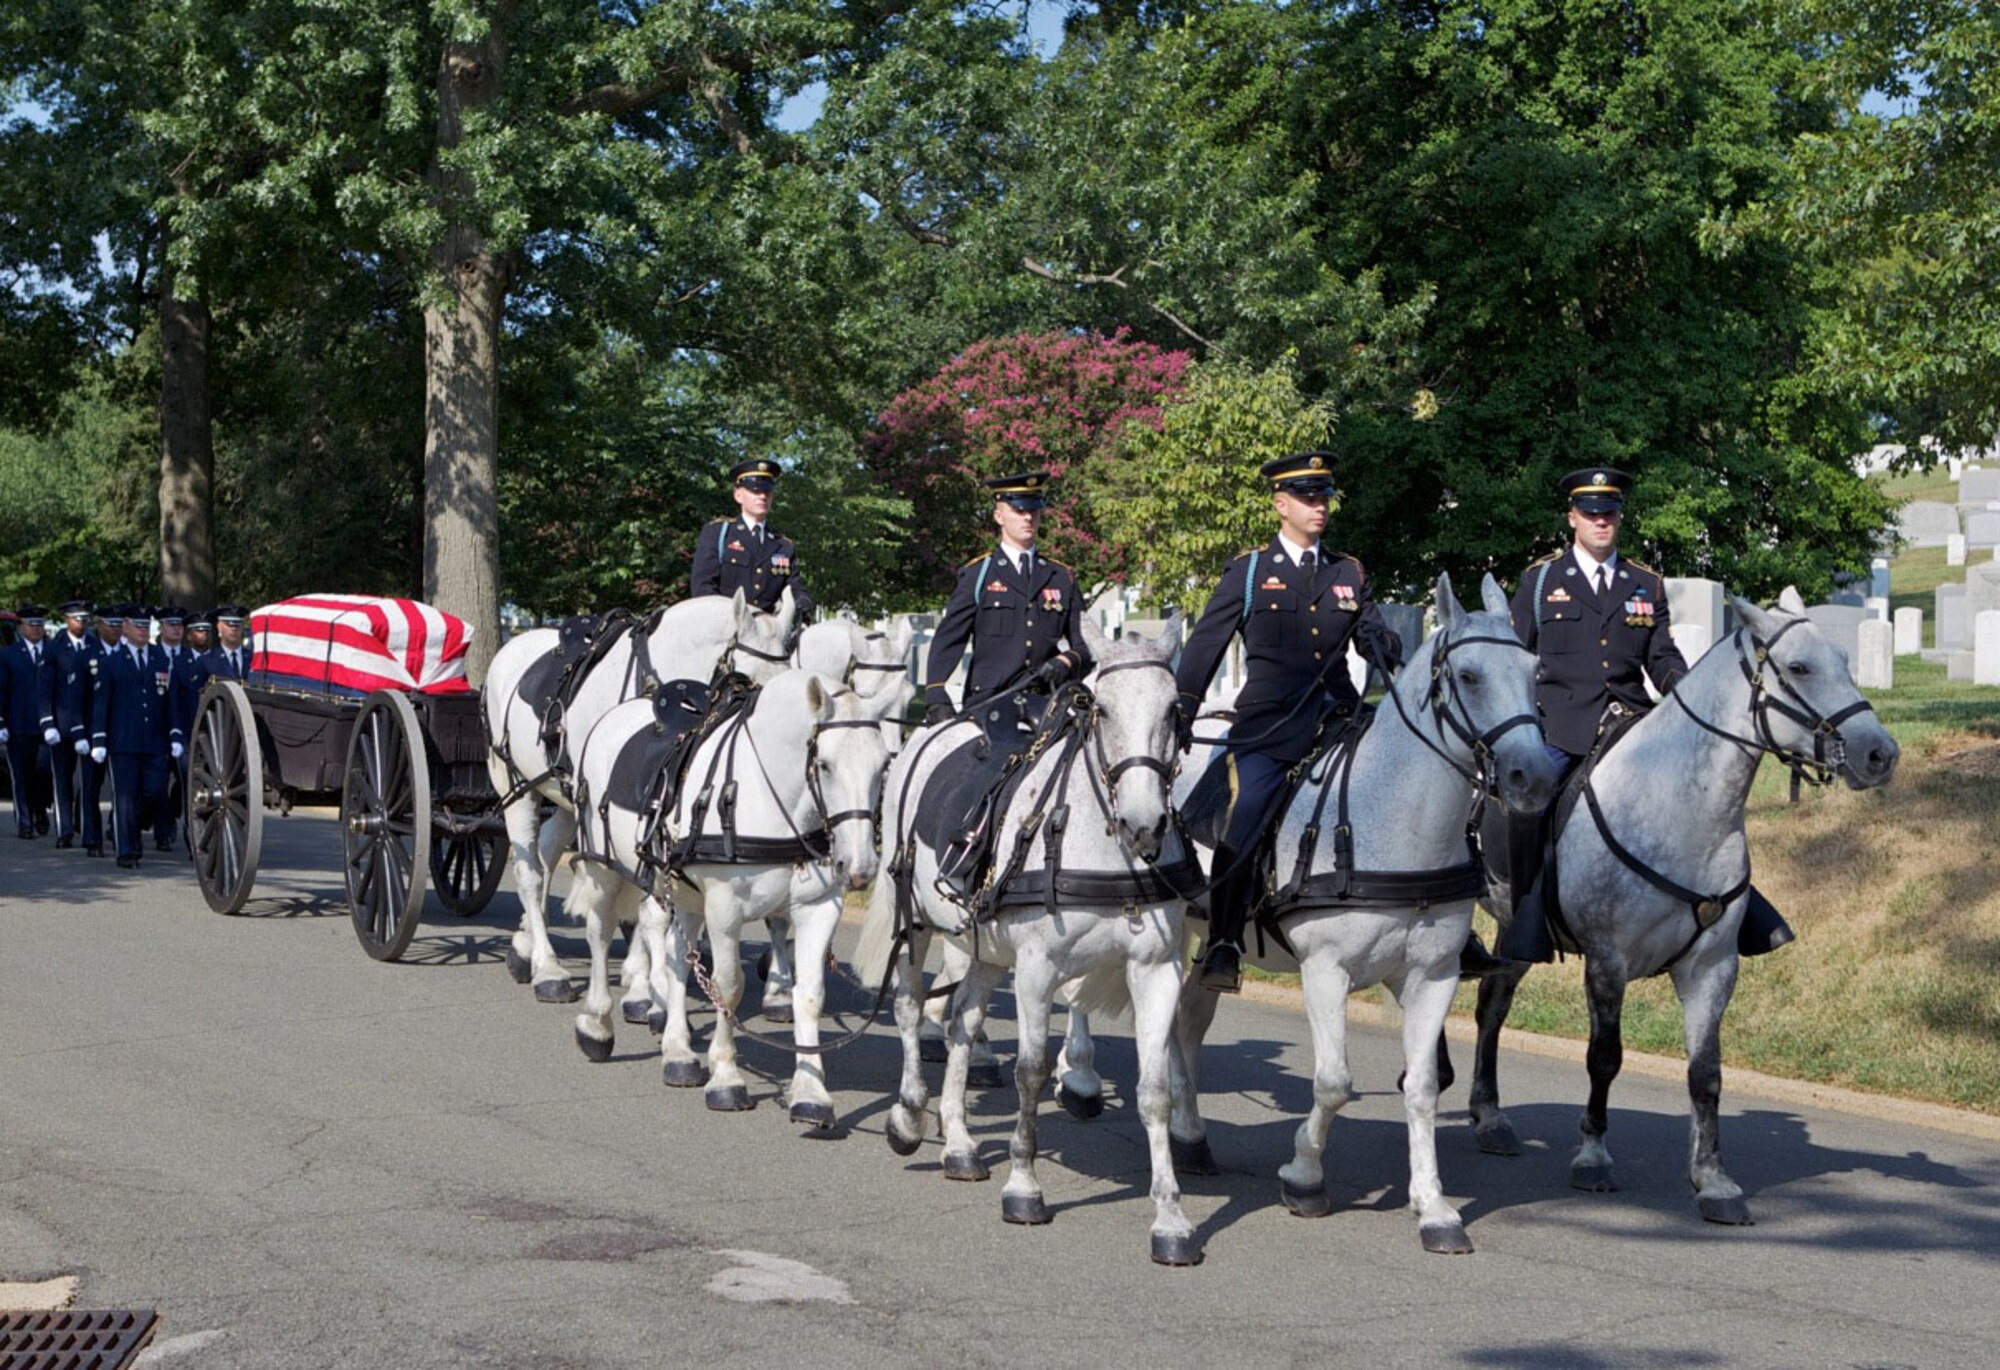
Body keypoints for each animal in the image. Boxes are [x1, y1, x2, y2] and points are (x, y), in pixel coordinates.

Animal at [484, 592, 796, 1000]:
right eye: (750, 685)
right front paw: (644, 981)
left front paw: (642, 972)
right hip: (517, 786)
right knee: (528, 872)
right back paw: (547, 967)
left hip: (563, 797)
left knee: (545, 854)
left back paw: (525, 948)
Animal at [572, 664, 900, 1120]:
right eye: (825, 764)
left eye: (884, 765)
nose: (859, 867)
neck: (767, 792)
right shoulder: (724, 908)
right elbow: (728, 986)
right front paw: (726, 1077)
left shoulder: (819, 908)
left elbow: (810, 995)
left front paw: (811, 1092)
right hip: (603, 869)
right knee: (600, 934)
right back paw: (597, 1026)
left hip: (683, 893)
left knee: (674, 956)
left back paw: (678, 1052)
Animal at [848, 616, 1200, 1264]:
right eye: (1103, 709)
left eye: (1174, 710)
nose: (1144, 824)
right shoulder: (1037, 970)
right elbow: (1031, 1072)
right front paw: (1024, 1185)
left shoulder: (1156, 969)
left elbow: (1155, 1090)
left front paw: (1171, 1218)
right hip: (917, 923)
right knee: (911, 1007)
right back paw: (909, 1116)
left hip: (985, 949)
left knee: (961, 1020)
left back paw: (960, 1143)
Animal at [1168, 572, 1568, 1256]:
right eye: (1467, 676)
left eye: (1536, 669)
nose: (1534, 777)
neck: (1394, 821)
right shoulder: (1324, 972)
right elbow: (1334, 1081)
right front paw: (1303, 1176)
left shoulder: (1431, 976)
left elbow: (1424, 1087)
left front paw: (1434, 1207)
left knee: (1189, 1021)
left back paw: (1191, 1137)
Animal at [1464, 584, 1896, 1224]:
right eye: (1799, 667)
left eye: (1845, 661)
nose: (1880, 753)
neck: (1676, 806)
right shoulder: (1607, 962)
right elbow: (1604, 1056)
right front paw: (1593, 1157)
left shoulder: (1712, 967)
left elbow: (1705, 1074)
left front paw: (1713, 1180)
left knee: (1492, 1005)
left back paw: (1489, 1116)